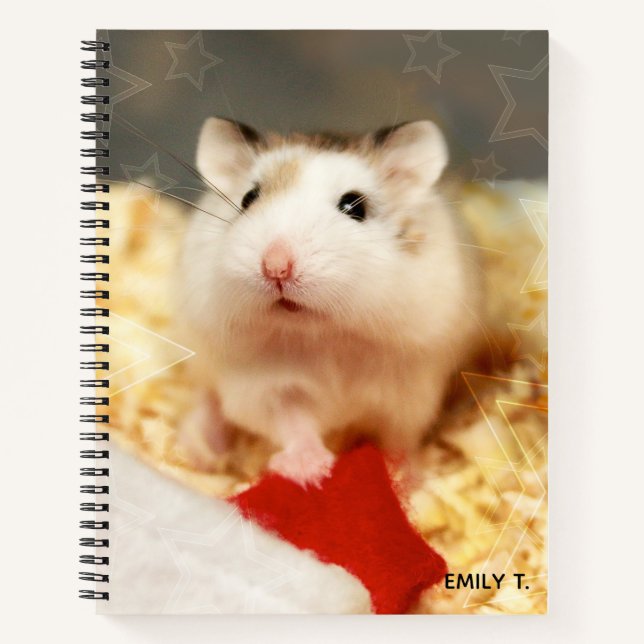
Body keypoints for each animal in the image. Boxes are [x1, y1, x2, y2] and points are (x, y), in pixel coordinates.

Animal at [175, 117, 483, 486]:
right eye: (248, 198)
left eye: (355, 206)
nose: (275, 266)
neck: (324, 333)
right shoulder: (266, 387)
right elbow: (292, 424)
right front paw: (310, 471)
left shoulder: (409, 393)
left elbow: (400, 437)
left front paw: (403, 477)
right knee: (208, 398)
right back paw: (200, 450)